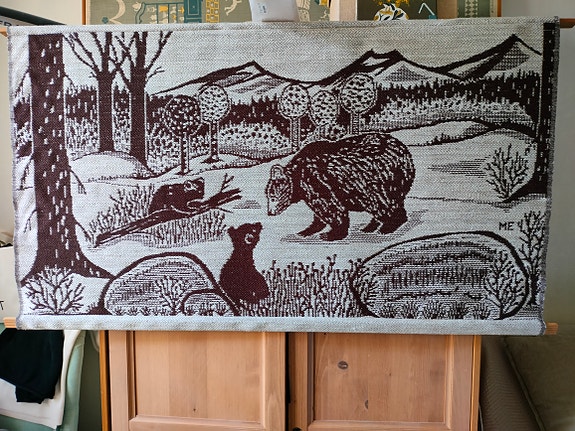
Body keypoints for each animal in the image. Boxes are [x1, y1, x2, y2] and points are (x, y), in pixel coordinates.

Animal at [265, 132, 415, 241]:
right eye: (268, 196)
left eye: (272, 197)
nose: (270, 212)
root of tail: (405, 154)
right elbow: (320, 212)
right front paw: (307, 230)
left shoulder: (317, 180)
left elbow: (331, 208)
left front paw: (331, 234)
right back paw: (371, 226)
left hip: (377, 179)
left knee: (380, 202)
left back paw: (388, 226)